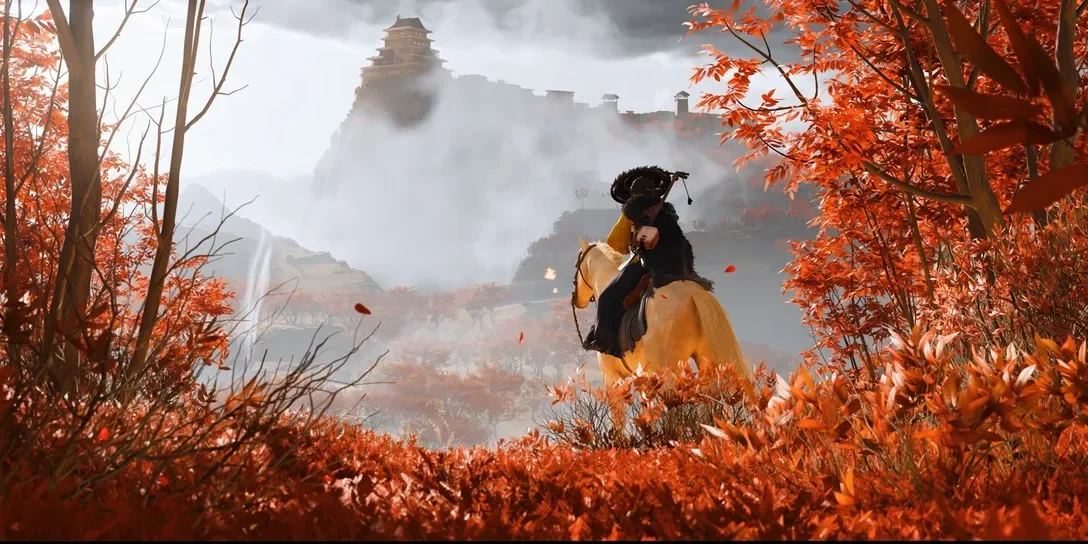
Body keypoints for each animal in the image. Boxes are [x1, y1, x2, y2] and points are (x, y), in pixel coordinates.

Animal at [572, 238, 750, 387]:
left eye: (576, 265)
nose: (576, 299)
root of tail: (693, 294)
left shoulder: (611, 378)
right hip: (707, 363)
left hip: (668, 372)